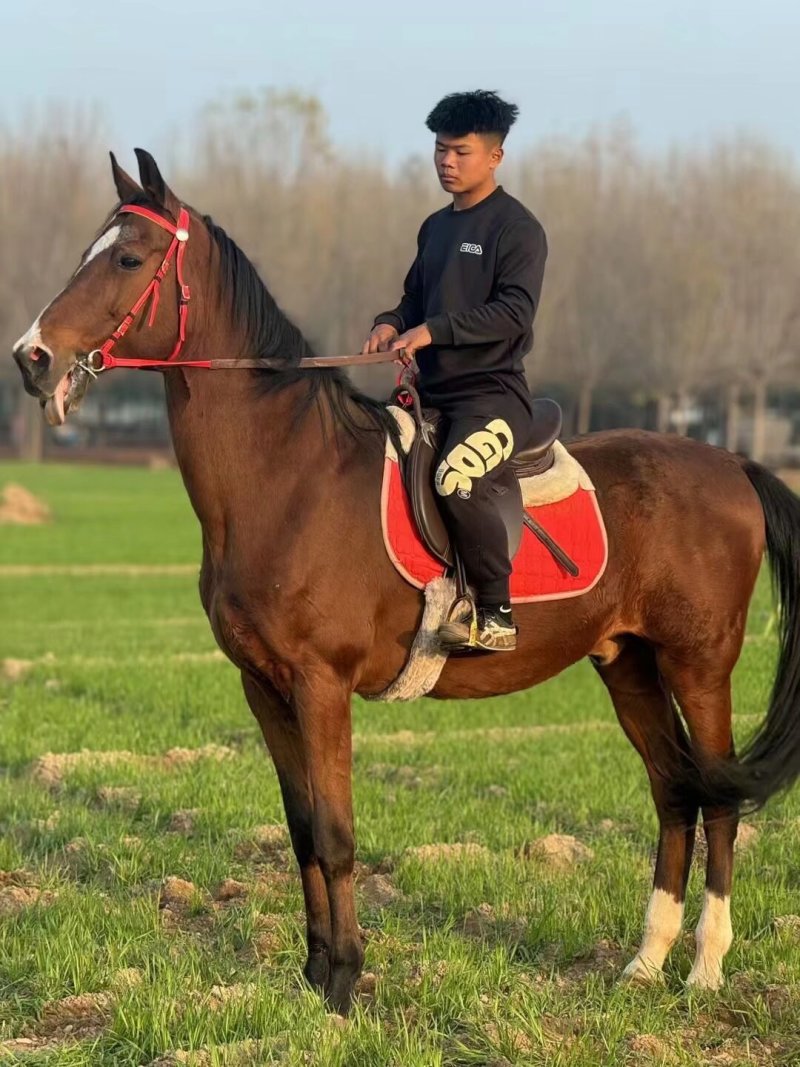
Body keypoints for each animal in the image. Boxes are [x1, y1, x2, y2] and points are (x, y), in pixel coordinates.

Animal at [12, 148, 800, 1013]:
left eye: (127, 258)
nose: (31, 356)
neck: (289, 475)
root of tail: (731, 463)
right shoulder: (264, 686)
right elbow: (300, 830)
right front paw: (312, 973)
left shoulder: (321, 683)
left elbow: (335, 834)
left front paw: (345, 982)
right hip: (627, 662)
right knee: (674, 792)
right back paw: (644, 961)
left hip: (700, 666)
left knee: (719, 797)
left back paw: (704, 966)